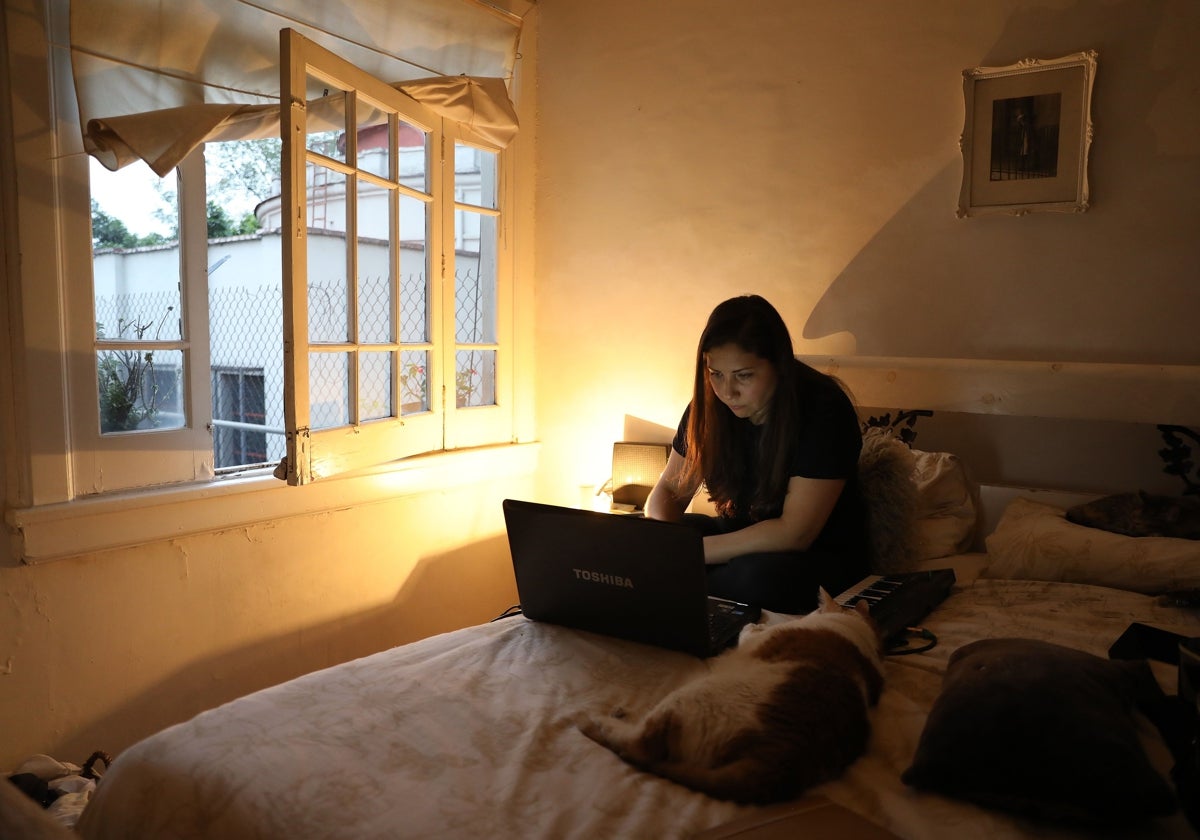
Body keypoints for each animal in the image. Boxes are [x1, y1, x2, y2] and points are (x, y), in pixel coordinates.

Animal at [576, 588, 888, 801]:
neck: (855, 630)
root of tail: (781, 758)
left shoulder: (755, 638)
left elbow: (749, 631)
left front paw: (755, 624)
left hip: (688, 698)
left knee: (637, 745)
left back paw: (600, 718)